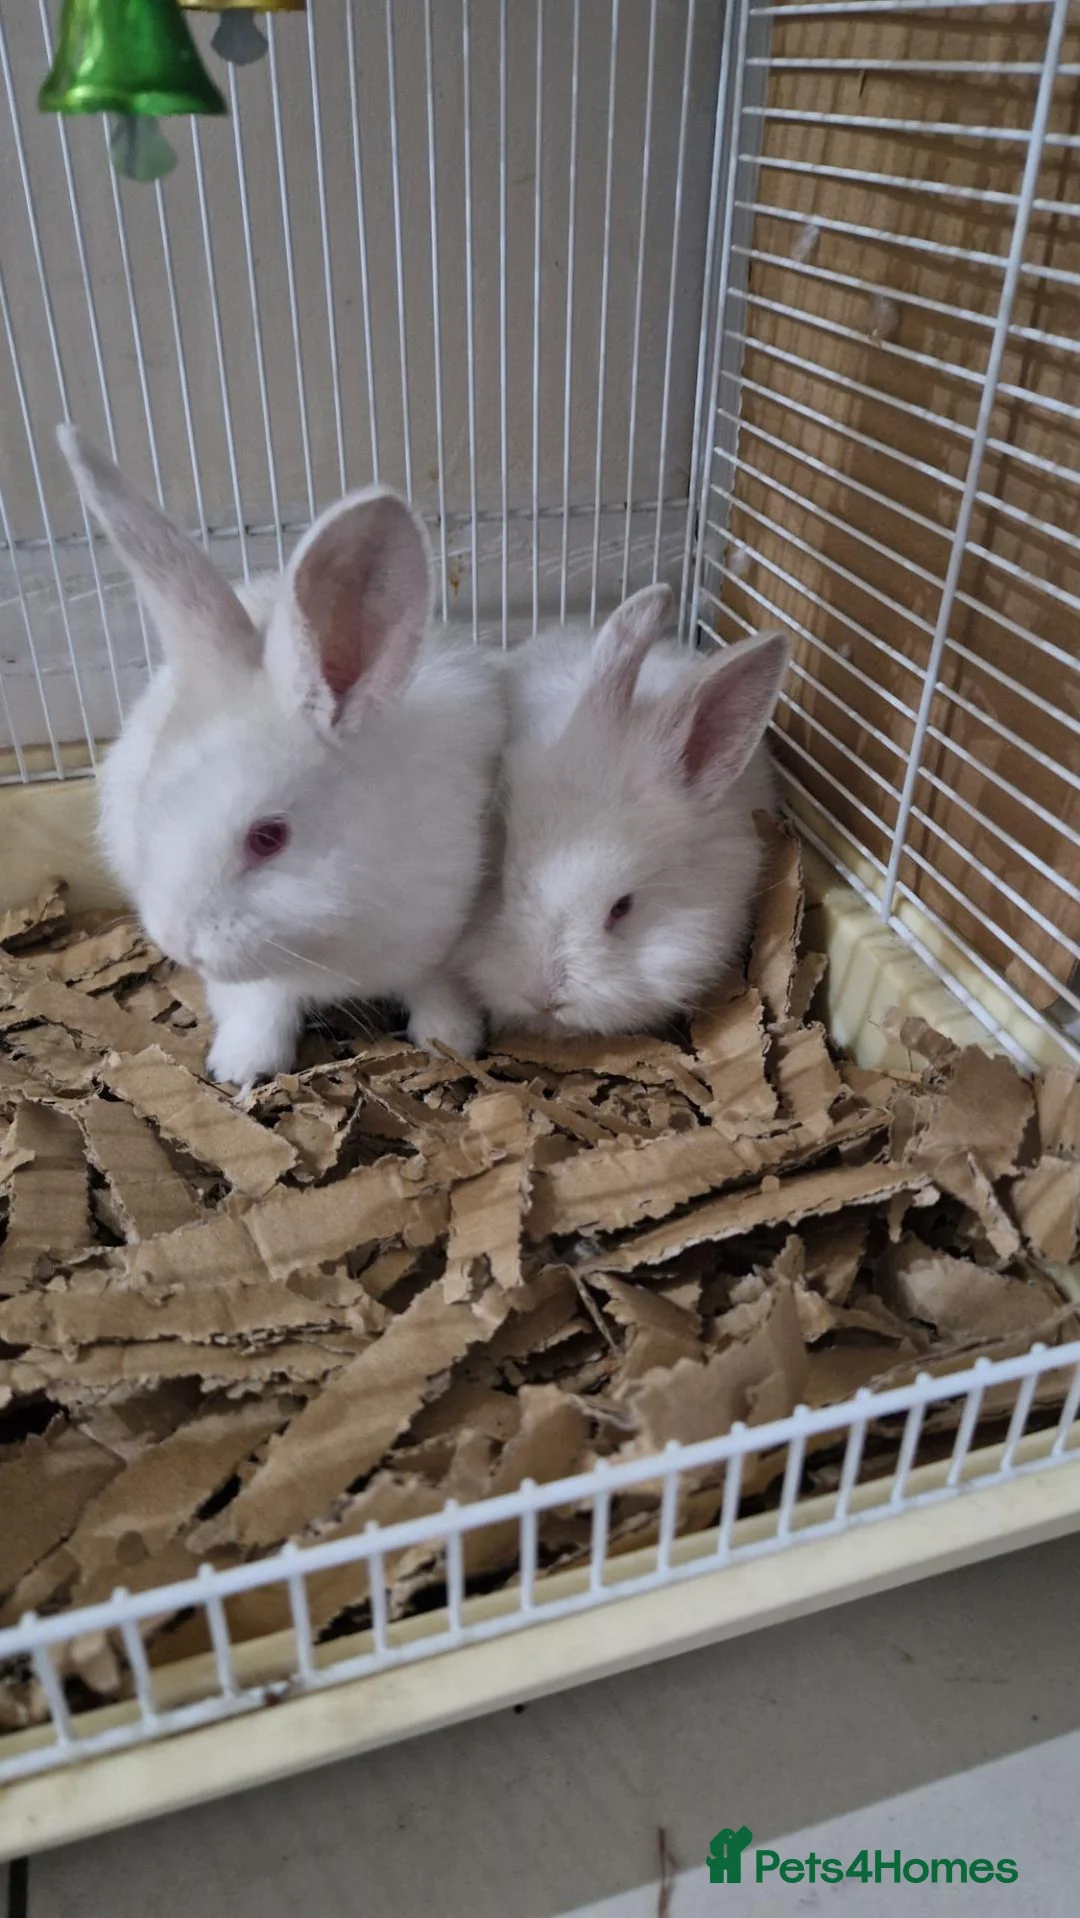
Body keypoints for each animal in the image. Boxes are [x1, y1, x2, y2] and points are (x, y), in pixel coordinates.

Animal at [58, 425, 506, 1085]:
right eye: (151, 813)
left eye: (269, 838)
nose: (178, 942)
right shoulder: (252, 982)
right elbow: (260, 1008)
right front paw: (238, 1069)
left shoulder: (444, 932)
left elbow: (439, 990)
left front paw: (450, 1040)